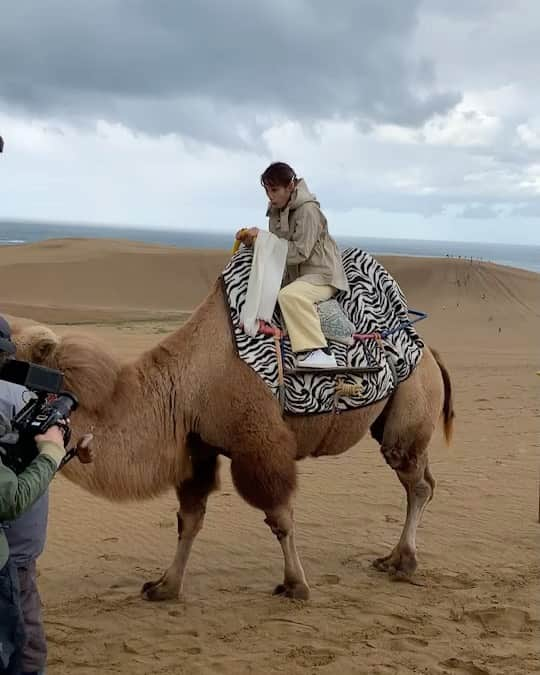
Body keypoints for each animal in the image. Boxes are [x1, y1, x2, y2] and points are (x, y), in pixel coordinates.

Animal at [12, 280, 454, 604]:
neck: (183, 386)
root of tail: (430, 352)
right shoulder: (199, 448)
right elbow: (189, 520)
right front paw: (164, 586)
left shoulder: (258, 446)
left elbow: (280, 518)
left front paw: (296, 585)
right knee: (425, 482)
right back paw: (393, 557)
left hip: (409, 409)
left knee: (415, 482)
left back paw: (404, 562)